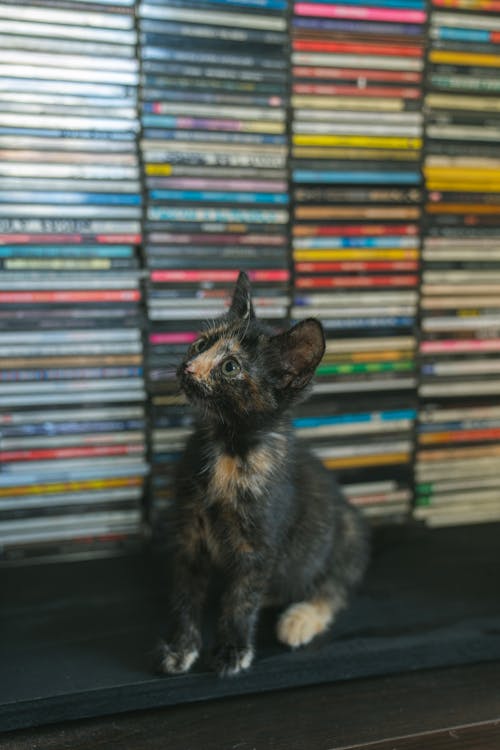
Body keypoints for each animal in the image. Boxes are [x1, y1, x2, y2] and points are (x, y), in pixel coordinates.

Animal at [158, 274, 370, 680]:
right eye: (201, 343)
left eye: (230, 367)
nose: (188, 367)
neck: (229, 447)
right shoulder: (188, 535)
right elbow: (184, 594)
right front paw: (181, 647)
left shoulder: (257, 544)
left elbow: (241, 601)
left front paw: (232, 650)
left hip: (349, 531)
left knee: (335, 586)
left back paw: (300, 619)